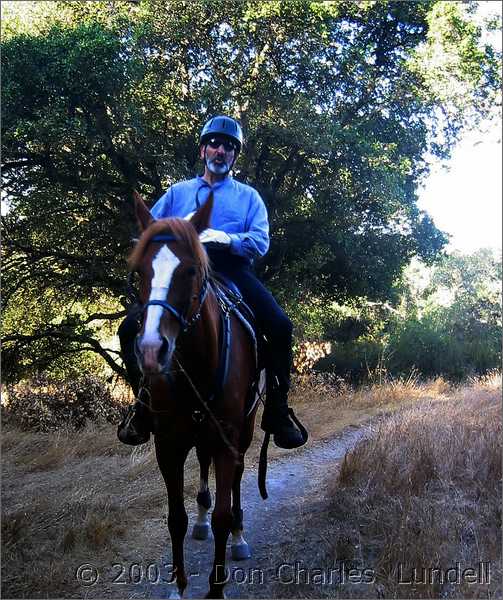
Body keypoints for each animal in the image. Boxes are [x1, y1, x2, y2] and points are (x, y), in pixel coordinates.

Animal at [129, 193, 260, 600]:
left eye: (189, 271)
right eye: (140, 272)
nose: (151, 350)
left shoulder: (226, 438)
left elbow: (222, 514)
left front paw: (216, 588)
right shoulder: (167, 444)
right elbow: (175, 519)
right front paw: (178, 586)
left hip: (243, 431)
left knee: (237, 477)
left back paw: (240, 537)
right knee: (202, 470)